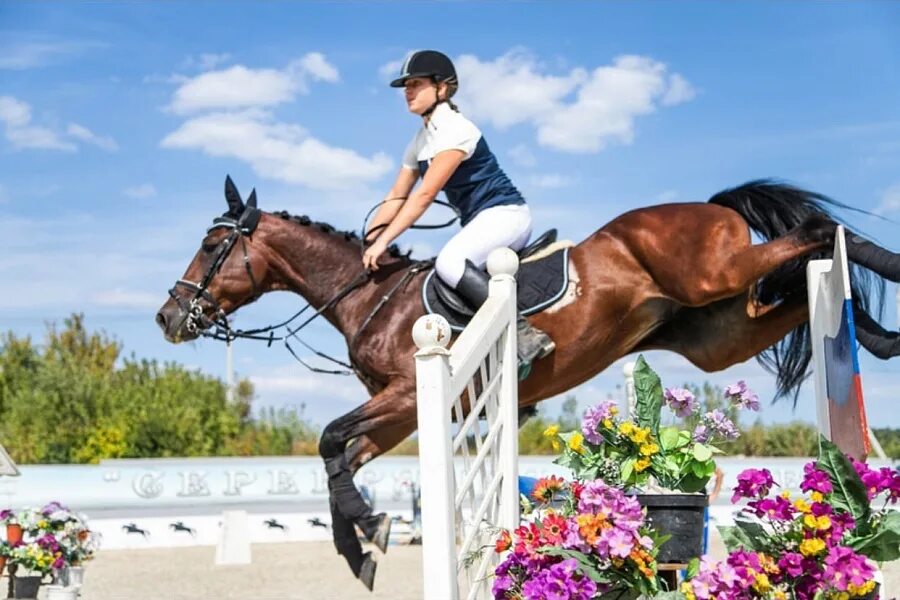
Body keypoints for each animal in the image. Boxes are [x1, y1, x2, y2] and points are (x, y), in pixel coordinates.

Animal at [156, 176, 900, 588]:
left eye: (212, 246)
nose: (168, 316)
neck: (369, 295)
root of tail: (708, 206)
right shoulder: (398, 413)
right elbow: (339, 453)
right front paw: (361, 544)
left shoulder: (408, 393)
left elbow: (329, 438)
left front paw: (368, 527)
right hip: (717, 333)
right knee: (799, 287)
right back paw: (881, 336)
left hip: (711, 277)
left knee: (815, 229)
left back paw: (882, 270)